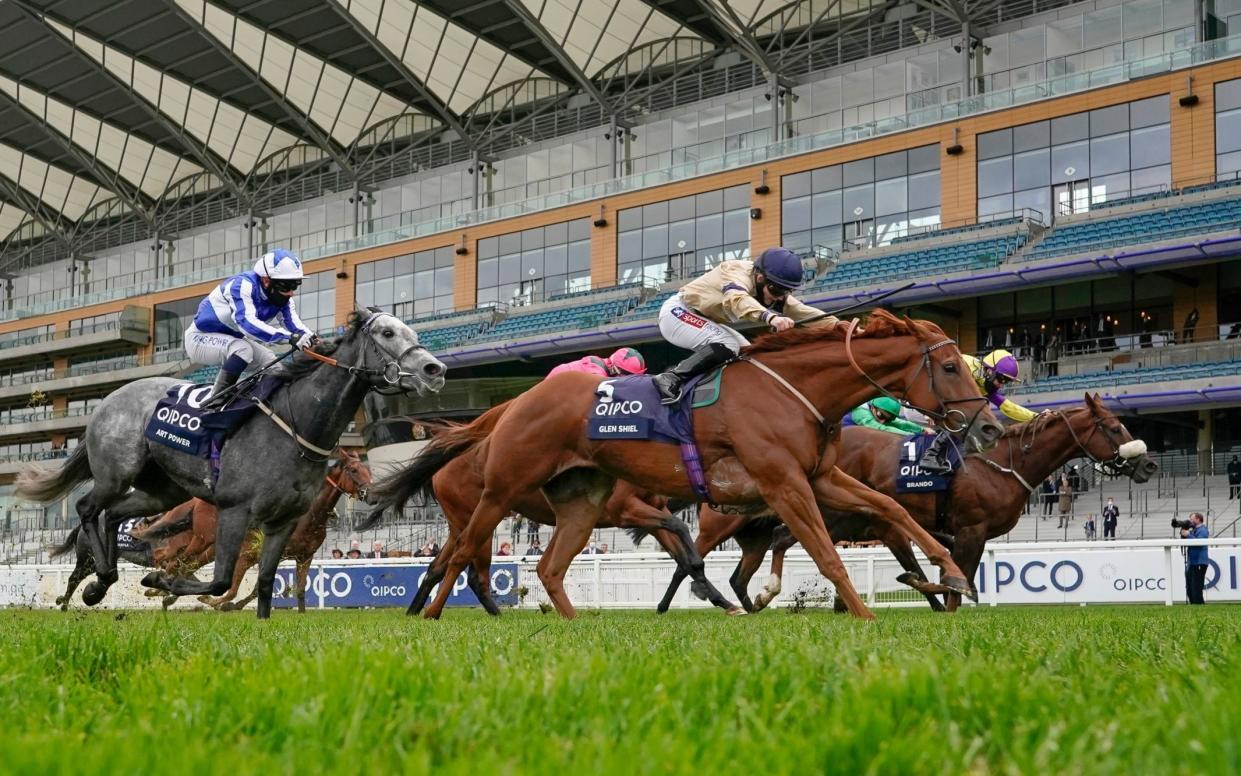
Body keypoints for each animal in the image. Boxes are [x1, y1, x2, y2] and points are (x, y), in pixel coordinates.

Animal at [19, 309, 446, 618]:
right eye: (387, 334)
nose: (435, 370)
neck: (295, 426)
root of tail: (106, 400)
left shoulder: (282, 523)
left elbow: (265, 582)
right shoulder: (234, 511)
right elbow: (220, 580)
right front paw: (163, 584)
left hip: (163, 491)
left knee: (113, 514)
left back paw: (101, 583)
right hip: (115, 474)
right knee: (87, 508)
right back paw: (100, 581)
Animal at [359, 399, 734, 618]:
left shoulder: (650, 513)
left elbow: (683, 555)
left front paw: (722, 600)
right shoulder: (625, 508)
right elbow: (680, 533)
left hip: (461, 522)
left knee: (441, 566)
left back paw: (420, 609)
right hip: (480, 515)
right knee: (470, 569)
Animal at [670, 392, 1161, 610]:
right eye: (1113, 428)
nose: (1149, 465)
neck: (1001, 463)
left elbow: (946, 576)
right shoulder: (969, 530)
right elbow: (955, 579)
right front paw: (942, 597)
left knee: (773, 544)